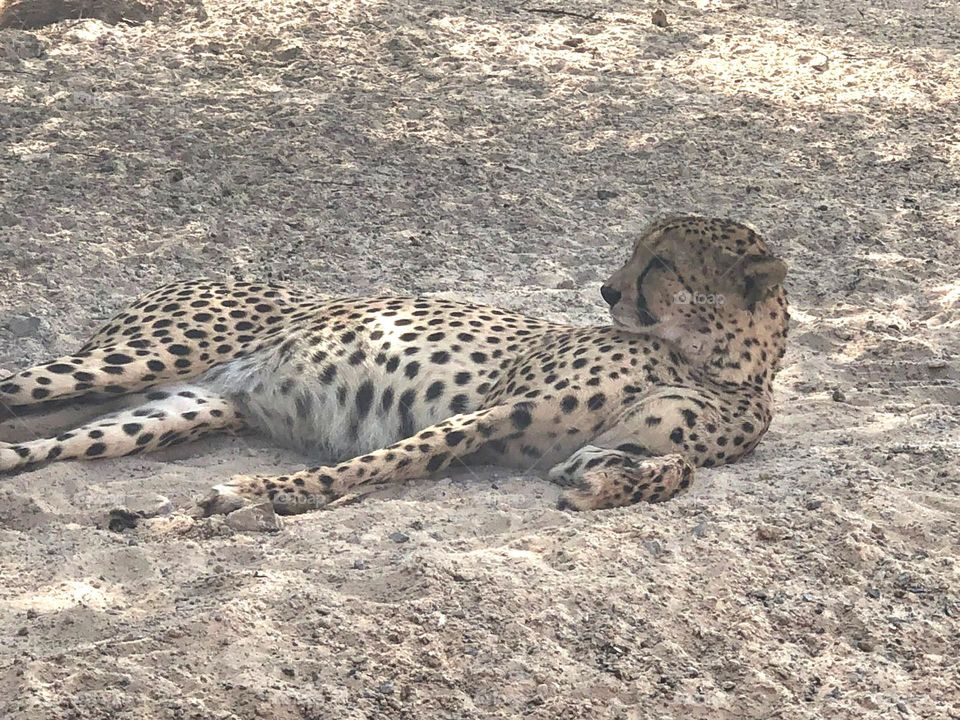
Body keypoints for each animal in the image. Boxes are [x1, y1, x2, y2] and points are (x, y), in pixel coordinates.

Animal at [1, 217, 788, 516]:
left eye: (660, 262)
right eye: (639, 252)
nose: (608, 291)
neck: (710, 363)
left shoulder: (610, 439)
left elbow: (674, 467)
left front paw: (605, 485)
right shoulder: (499, 408)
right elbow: (393, 457)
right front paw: (268, 490)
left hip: (167, 411)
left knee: (36, 444)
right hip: (137, 358)